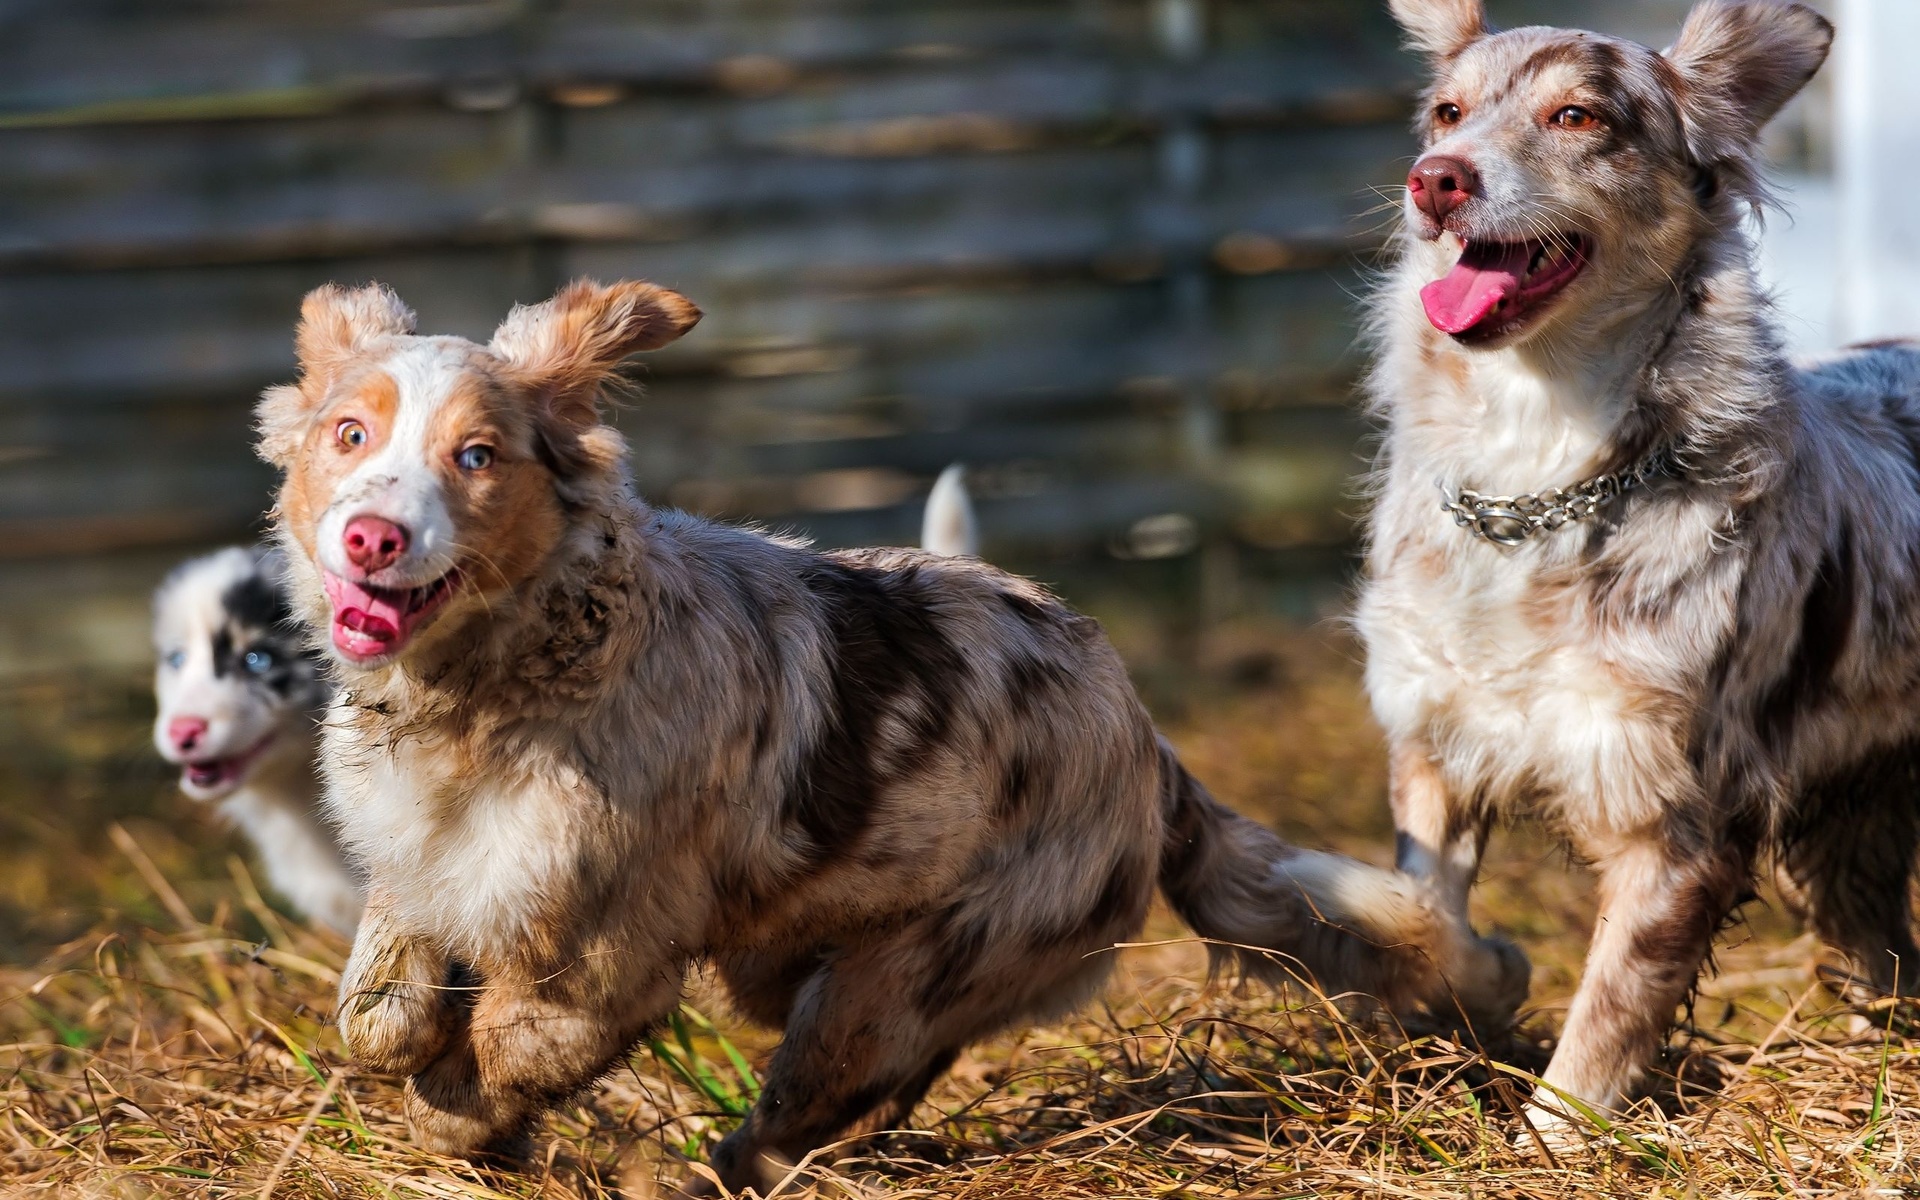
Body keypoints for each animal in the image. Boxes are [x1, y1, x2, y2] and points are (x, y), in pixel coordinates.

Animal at [255, 276, 1520, 1182]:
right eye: (349, 435)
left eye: (477, 456)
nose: (371, 538)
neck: (510, 681)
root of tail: (1149, 746)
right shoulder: (424, 865)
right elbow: (378, 1012)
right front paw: (436, 1079)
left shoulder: (613, 944)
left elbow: (516, 1044)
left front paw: (468, 1124)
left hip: (897, 974)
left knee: (813, 1094)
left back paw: (727, 1162)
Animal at [1359, 0, 1896, 1128]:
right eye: (1447, 113)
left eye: (1577, 116)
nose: (1436, 179)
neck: (1537, 472)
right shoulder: (1436, 745)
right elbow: (1426, 915)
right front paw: (1484, 977)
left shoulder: (1675, 819)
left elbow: (1607, 1012)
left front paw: (1555, 1136)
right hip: (1839, 835)